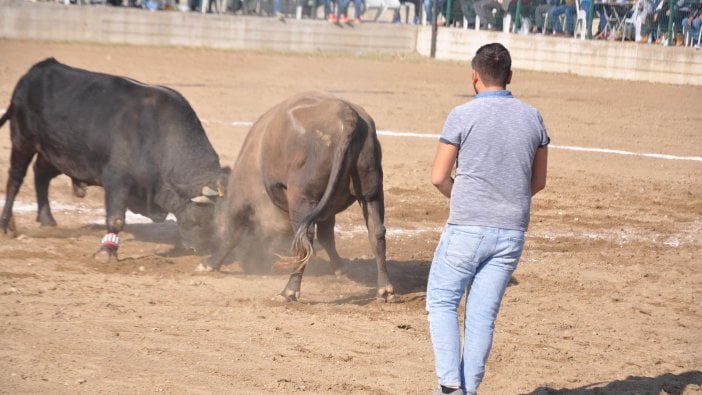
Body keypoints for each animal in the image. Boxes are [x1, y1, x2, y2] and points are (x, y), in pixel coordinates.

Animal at [0, 57, 228, 258]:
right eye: (204, 217)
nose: (206, 249)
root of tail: (39, 68)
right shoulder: (116, 179)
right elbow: (116, 218)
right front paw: (106, 251)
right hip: (23, 140)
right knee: (15, 180)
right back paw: (6, 225)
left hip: (57, 151)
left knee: (41, 173)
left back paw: (47, 219)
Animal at [198, 92, 396, 304]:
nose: (252, 263)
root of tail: (346, 114)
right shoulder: (328, 209)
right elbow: (327, 237)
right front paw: (340, 268)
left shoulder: (241, 198)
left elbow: (232, 233)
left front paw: (210, 263)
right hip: (371, 193)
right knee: (377, 233)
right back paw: (385, 290)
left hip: (302, 199)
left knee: (304, 240)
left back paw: (289, 291)